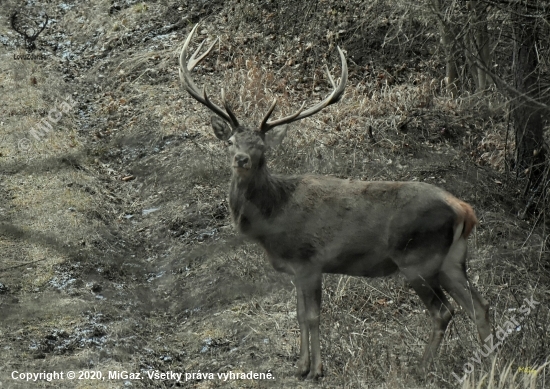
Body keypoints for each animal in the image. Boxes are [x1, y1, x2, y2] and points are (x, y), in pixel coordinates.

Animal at [179, 24, 494, 378]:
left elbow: (313, 316)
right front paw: (300, 366)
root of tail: (464, 210)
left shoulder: (310, 260)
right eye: (231, 141)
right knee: (481, 307)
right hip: (453, 259)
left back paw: (422, 368)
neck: (274, 218)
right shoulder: (295, 268)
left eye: (261, 146)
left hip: (418, 257)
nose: (242, 159)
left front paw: (316, 370)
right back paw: (489, 364)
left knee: (444, 312)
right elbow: (298, 315)